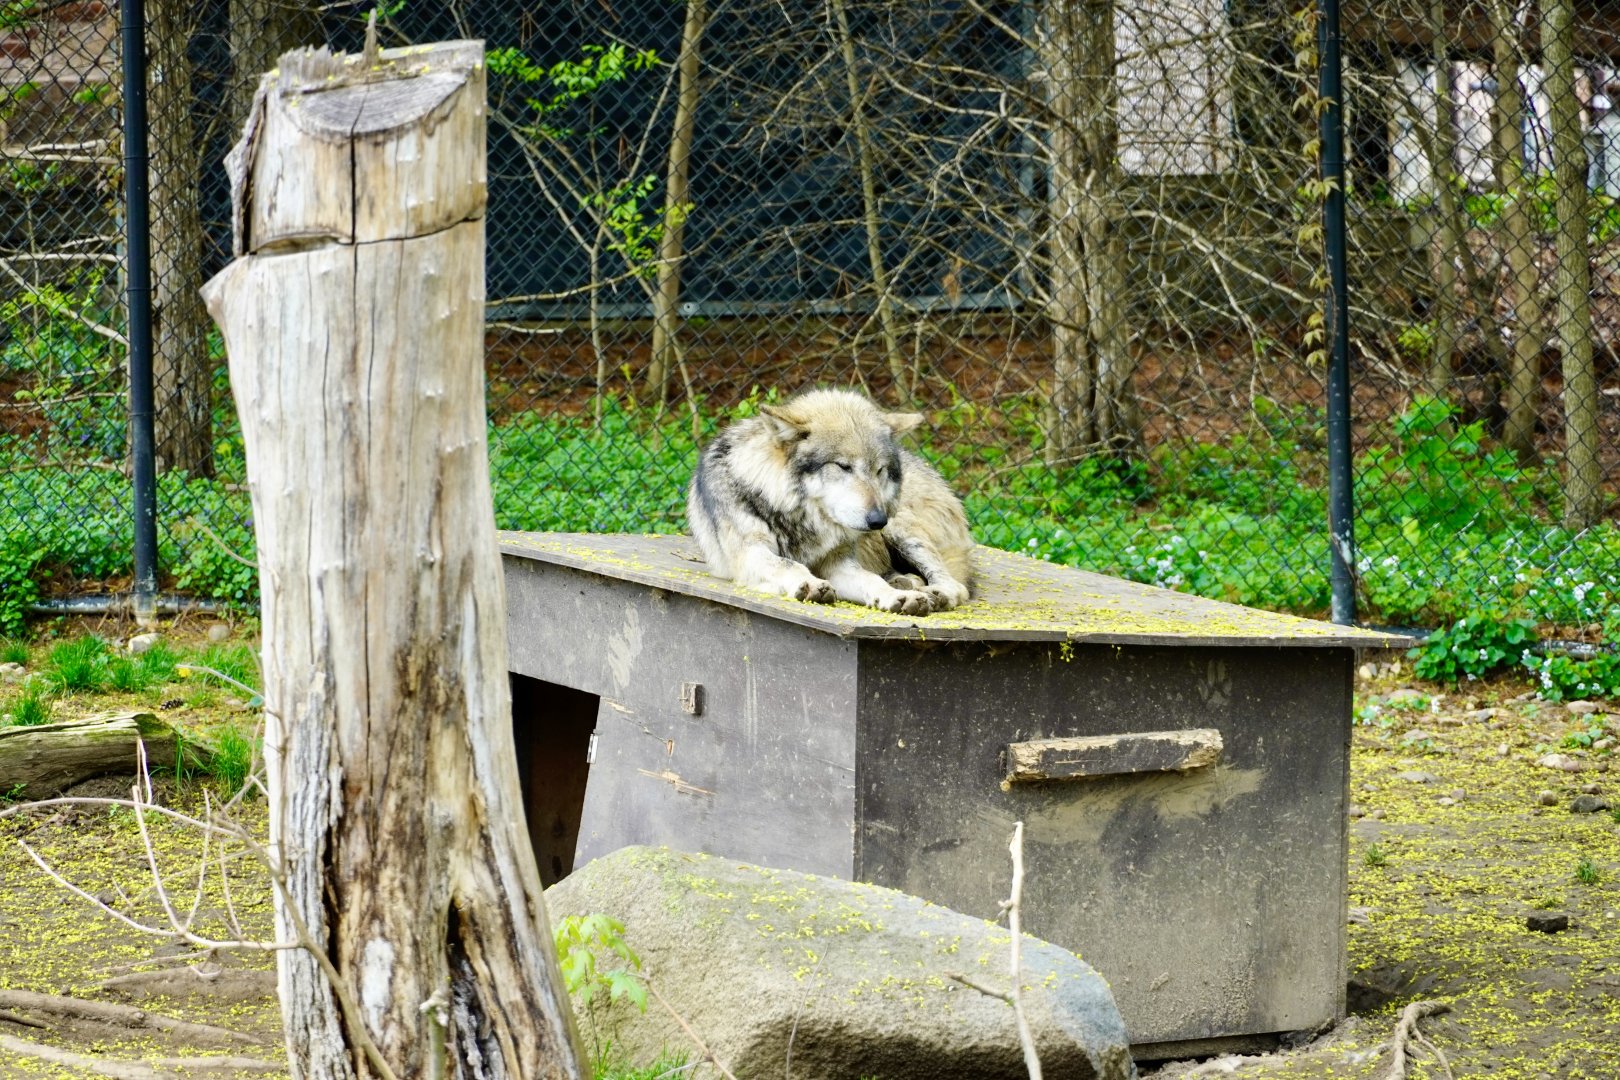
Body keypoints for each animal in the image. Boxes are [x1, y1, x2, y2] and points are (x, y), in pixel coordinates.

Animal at [687, 388, 974, 615]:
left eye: (879, 470)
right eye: (843, 466)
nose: (877, 520)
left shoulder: (839, 564)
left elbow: (871, 580)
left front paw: (897, 597)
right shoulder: (749, 553)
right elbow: (788, 563)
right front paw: (810, 584)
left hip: (900, 530)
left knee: (957, 586)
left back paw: (932, 593)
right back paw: (906, 582)